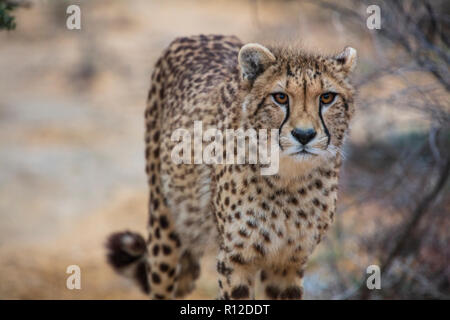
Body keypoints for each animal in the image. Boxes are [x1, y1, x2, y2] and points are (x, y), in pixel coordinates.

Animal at [107, 33, 356, 298]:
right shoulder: (236, 260)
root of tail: (198, 35)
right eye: (280, 97)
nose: (304, 134)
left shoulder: (289, 261)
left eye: (327, 97)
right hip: (164, 224)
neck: (288, 179)